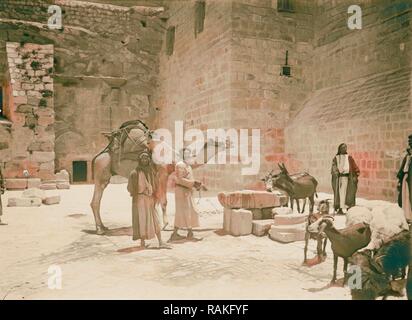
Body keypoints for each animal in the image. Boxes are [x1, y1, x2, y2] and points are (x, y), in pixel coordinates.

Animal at [89, 120, 229, 235]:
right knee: (96, 200)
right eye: (218, 142)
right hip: (102, 171)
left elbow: (155, 200)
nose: (229, 142)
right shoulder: (163, 174)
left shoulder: (155, 176)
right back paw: (100, 229)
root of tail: (96, 157)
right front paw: (166, 225)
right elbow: (164, 200)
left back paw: (103, 227)